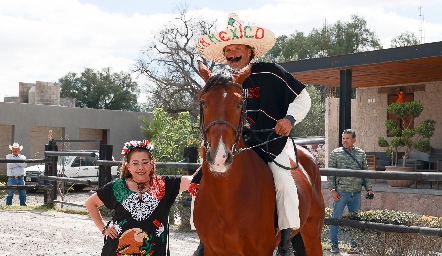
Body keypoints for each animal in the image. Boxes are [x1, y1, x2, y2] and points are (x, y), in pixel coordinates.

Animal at [193, 62, 324, 256]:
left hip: (313, 231)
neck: (226, 198)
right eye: (203, 102)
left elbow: (302, 98)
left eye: (240, 103)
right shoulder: (212, 250)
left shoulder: (260, 250)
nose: (220, 157)